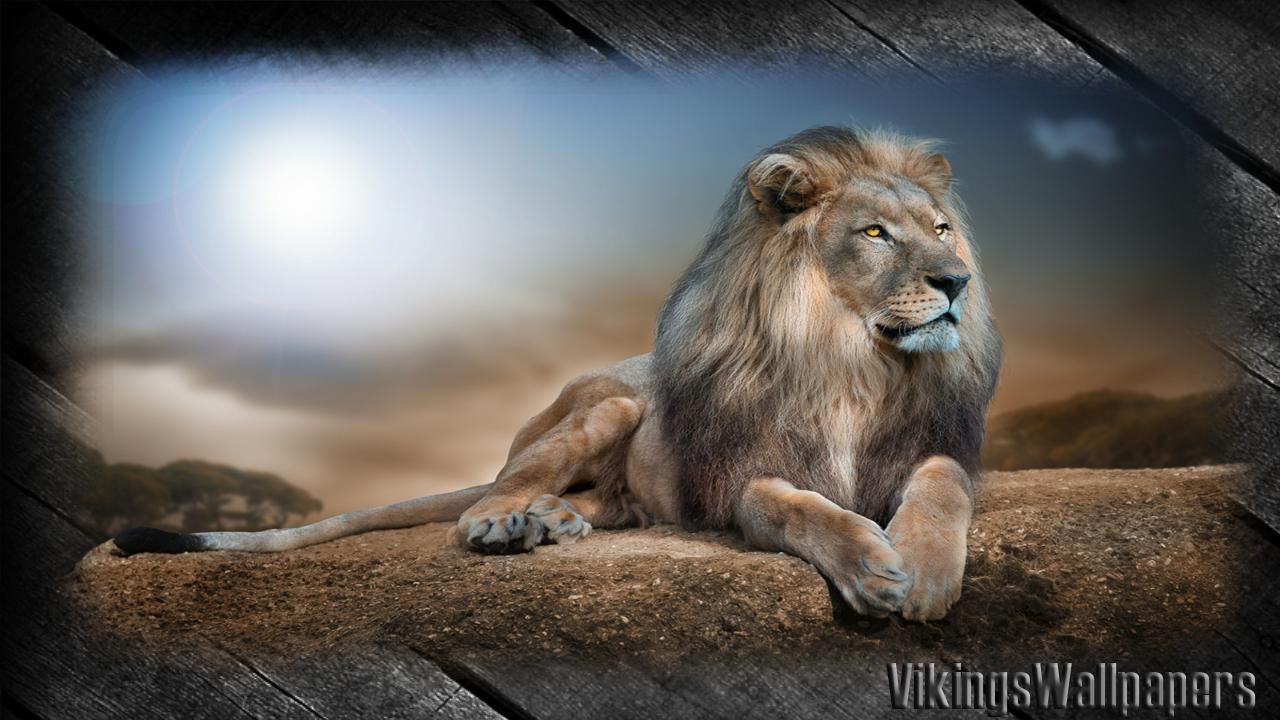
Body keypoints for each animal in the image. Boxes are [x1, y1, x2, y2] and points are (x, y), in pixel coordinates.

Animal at [115, 126, 1001, 621]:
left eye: (942, 228)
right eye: (876, 233)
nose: (958, 280)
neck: (853, 361)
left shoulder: (929, 448)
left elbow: (941, 487)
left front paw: (924, 572)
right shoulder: (742, 477)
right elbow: (801, 510)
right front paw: (871, 566)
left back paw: (557, 521)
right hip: (608, 407)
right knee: (485, 499)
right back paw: (509, 523)